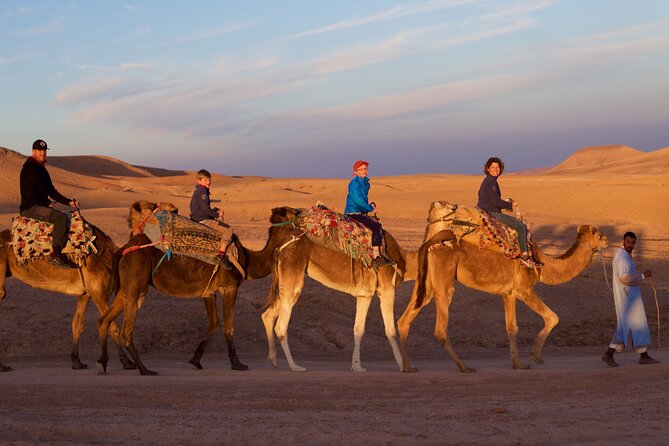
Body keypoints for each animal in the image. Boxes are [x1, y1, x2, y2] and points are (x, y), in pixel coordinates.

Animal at [96, 206, 300, 376]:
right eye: (292, 212)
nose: (302, 212)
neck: (248, 260)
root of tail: (123, 249)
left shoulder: (208, 292)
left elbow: (213, 325)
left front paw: (195, 361)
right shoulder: (230, 287)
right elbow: (228, 326)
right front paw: (238, 364)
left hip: (125, 288)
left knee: (104, 321)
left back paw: (103, 364)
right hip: (136, 285)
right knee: (126, 329)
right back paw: (144, 369)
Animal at [262, 228, 414, 372]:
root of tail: (282, 245)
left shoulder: (365, 295)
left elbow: (358, 329)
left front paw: (357, 367)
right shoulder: (387, 288)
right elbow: (391, 330)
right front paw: (404, 366)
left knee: (267, 315)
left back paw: (273, 359)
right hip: (292, 270)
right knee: (281, 325)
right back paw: (295, 367)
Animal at [396, 201, 612, 372]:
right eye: (599, 234)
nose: (607, 239)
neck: (543, 263)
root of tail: (429, 242)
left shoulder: (509, 293)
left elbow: (511, 328)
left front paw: (518, 364)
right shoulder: (524, 289)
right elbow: (553, 317)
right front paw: (536, 355)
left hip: (425, 285)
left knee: (404, 320)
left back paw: (408, 367)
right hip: (444, 282)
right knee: (440, 328)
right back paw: (464, 367)